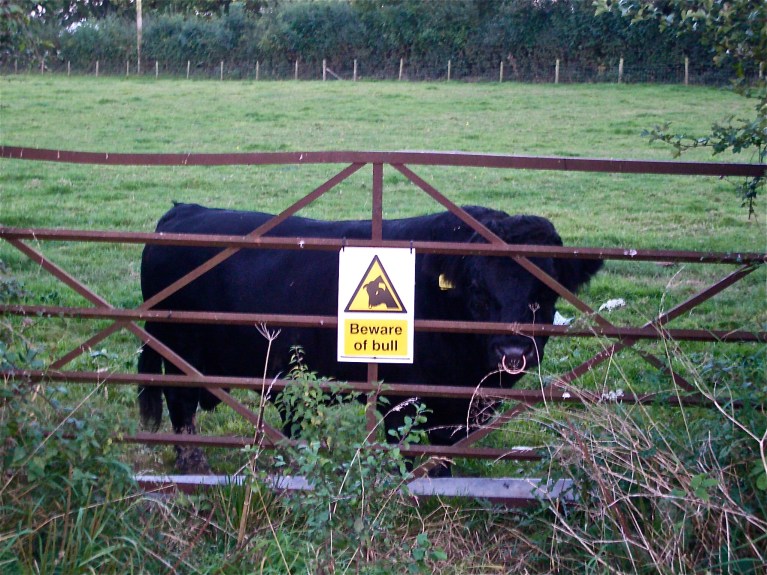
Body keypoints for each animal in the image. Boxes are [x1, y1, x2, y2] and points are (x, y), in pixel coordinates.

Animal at [138, 203, 602, 474]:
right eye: (477, 291)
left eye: (544, 293)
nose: (513, 350)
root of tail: (182, 213)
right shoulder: (402, 399)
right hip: (178, 353)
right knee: (180, 404)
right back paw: (193, 464)